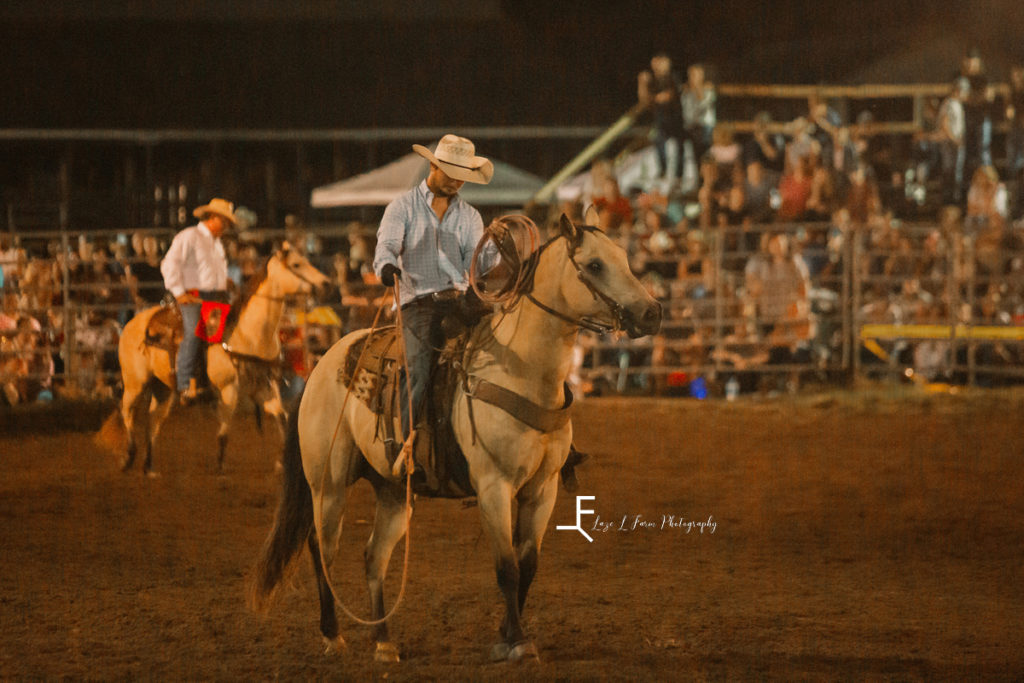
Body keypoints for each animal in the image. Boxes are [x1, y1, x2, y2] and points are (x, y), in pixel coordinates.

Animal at [102, 244, 329, 475]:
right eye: (296, 264)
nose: (325, 284)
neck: (248, 334)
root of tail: (133, 323)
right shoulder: (228, 388)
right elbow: (225, 427)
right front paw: (220, 466)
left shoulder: (265, 386)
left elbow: (281, 417)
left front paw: (281, 463)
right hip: (135, 382)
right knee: (127, 412)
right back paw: (128, 457)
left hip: (162, 388)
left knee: (153, 420)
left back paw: (149, 467)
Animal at [251, 211, 659, 663]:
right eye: (594, 265)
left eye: (624, 259)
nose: (653, 312)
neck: (522, 371)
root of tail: (320, 368)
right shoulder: (493, 486)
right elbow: (506, 567)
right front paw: (516, 642)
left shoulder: (542, 489)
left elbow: (528, 565)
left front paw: (506, 633)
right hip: (329, 483)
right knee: (322, 548)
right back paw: (332, 635)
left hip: (394, 492)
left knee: (374, 555)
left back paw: (383, 641)